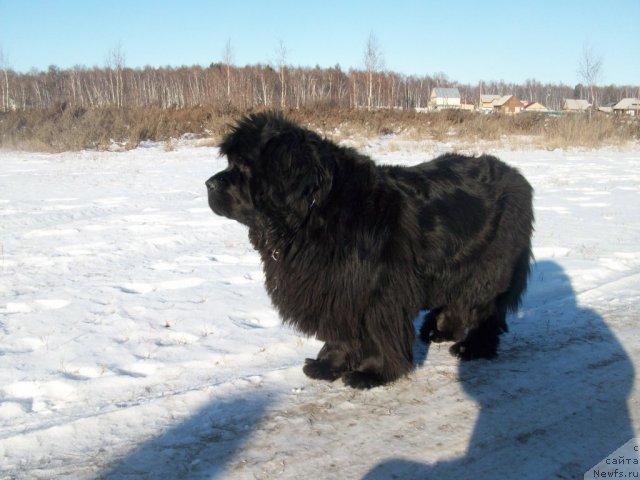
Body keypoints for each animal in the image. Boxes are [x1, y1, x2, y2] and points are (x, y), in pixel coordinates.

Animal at [206, 113, 536, 390]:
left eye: (244, 165)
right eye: (230, 163)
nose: (208, 183)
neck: (312, 212)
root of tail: (517, 175)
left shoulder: (378, 291)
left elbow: (378, 334)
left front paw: (372, 373)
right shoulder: (335, 287)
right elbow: (339, 333)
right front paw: (327, 365)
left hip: (491, 265)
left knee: (484, 307)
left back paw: (472, 347)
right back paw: (439, 331)